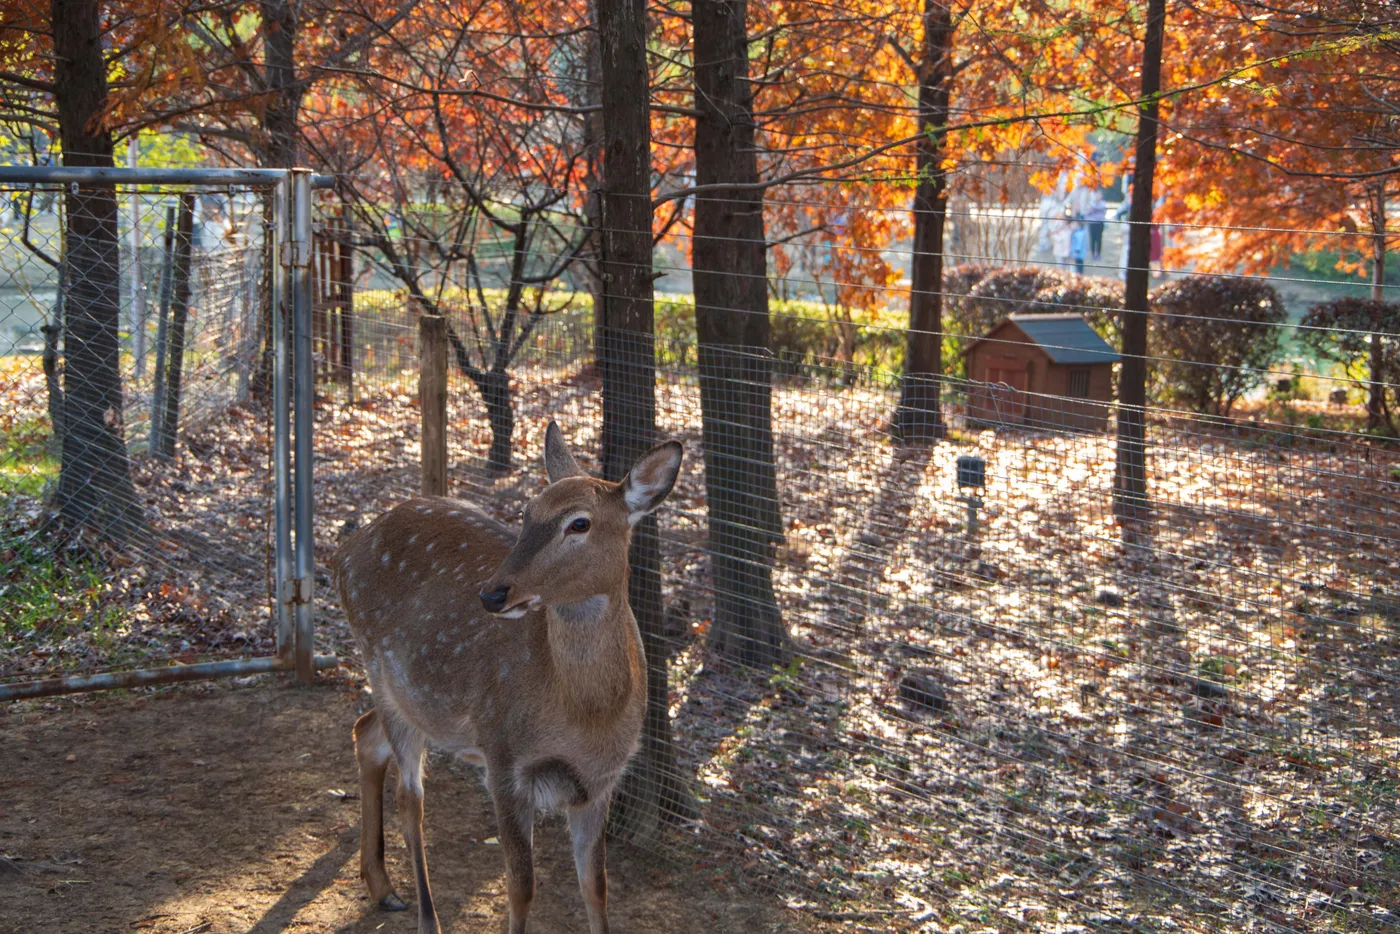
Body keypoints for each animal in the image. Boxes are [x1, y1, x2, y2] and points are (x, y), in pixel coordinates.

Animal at [333, 421, 683, 934]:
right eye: (526, 512)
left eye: (580, 523)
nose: (493, 594)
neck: (586, 717)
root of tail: (344, 550)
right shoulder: (504, 759)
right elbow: (521, 888)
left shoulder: (601, 782)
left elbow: (596, 887)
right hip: (378, 664)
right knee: (410, 797)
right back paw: (425, 916)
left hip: (412, 698)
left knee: (365, 733)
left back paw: (382, 888)